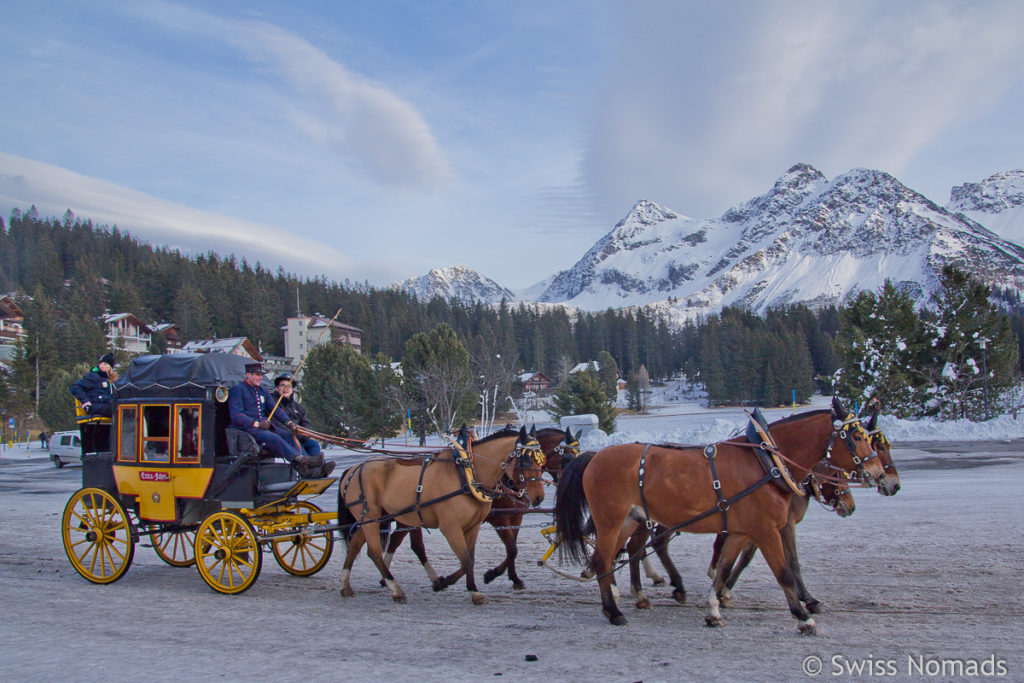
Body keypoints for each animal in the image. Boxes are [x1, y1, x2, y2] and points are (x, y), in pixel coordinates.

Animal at [337, 423, 544, 606]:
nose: (539, 497)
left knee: (356, 545)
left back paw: (346, 585)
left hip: (377, 517)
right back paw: (396, 589)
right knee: (374, 552)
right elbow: (467, 560)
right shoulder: (451, 527)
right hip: (371, 517)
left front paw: (473, 590)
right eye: (526, 461)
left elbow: (473, 558)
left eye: (542, 462)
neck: (467, 473)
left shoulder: (474, 526)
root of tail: (352, 469)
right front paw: (446, 583)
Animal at [557, 397, 884, 634]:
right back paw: (615, 611)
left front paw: (714, 608)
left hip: (628, 521)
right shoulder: (766, 530)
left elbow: (725, 568)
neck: (767, 463)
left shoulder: (740, 531)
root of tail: (595, 457)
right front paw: (803, 616)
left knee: (616, 556)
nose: (880, 475)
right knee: (605, 559)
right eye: (856, 436)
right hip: (611, 520)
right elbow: (784, 572)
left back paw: (620, 600)